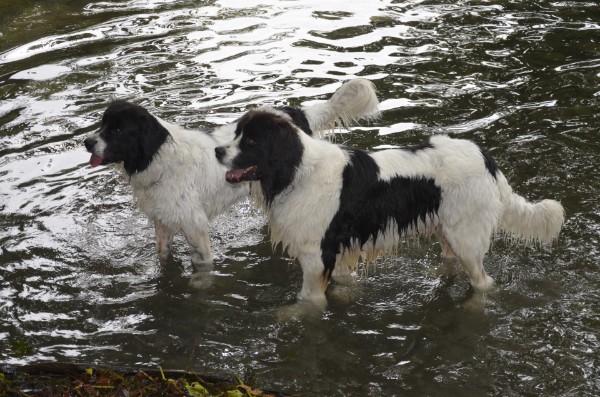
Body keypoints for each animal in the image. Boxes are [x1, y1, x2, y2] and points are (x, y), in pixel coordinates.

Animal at [83, 79, 380, 268]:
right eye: (103, 124)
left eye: (118, 130)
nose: (86, 142)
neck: (159, 158)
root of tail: (296, 113)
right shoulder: (163, 221)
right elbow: (163, 254)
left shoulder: (194, 226)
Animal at [216, 110, 564, 304]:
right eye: (237, 134)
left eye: (251, 142)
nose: (218, 150)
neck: (298, 171)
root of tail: (485, 157)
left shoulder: (317, 256)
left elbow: (309, 302)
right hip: (446, 228)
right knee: (452, 260)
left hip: (466, 235)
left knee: (482, 282)